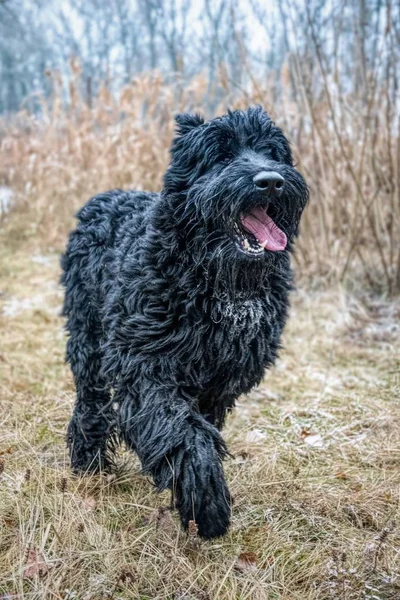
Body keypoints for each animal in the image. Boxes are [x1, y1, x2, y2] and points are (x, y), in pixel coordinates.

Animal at [61, 106, 308, 540]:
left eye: (272, 152)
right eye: (221, 155)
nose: (271, 181)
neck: (212, 281)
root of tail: (104, 197)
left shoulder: (218, 382)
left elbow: (197, 427)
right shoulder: (145, 363)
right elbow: (181, 430)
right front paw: (206, 502)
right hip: (87, 337)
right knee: (91, 400)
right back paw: (89, 461)